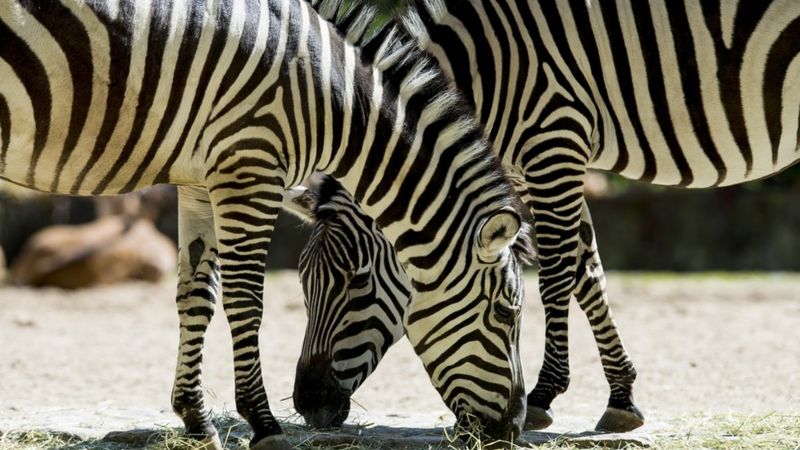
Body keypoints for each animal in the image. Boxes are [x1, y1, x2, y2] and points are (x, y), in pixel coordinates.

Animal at [3, 0, 536, 446]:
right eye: (507, 313)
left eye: (347, 282)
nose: (511, 428)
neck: (331, 102)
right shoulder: (250, 167)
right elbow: (245, 302)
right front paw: (263, 424)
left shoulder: (199, 179)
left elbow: (197, 296)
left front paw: (196, 421)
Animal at [296, 0, 800, 434]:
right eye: (303, 281)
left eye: (357, 281)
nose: (308, 405)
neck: (489, 68)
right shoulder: (530, 168)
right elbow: (587, 274)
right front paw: (621, 397)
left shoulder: (556, 143)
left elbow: (557, 276)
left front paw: (543, 397)